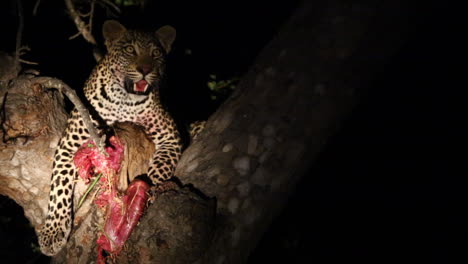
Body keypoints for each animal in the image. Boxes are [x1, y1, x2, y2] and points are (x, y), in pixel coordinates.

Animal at [37, 20, 183, 256]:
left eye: (156, 53)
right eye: (130, 50)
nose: (145, 70)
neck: (127, 101)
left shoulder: (170, 138)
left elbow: (159, 169)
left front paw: (149, 190)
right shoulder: (69, 145)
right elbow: (59, 188)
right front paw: (53, 233)